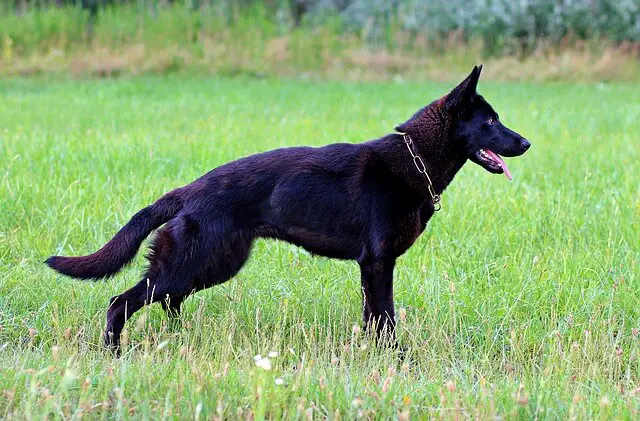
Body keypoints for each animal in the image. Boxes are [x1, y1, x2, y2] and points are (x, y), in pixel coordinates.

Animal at [47, 64, 528, 350]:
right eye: (490, 121)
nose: (525, 143)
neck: (413, 160)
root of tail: (188, 190)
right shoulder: (378, 263)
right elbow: (386, 319)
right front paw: (395, 360)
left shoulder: (372, 268)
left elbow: (374, 317)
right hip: (191, 264)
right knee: (120, 301)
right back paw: (114, 353)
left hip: (210, 265)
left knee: (169, 302)